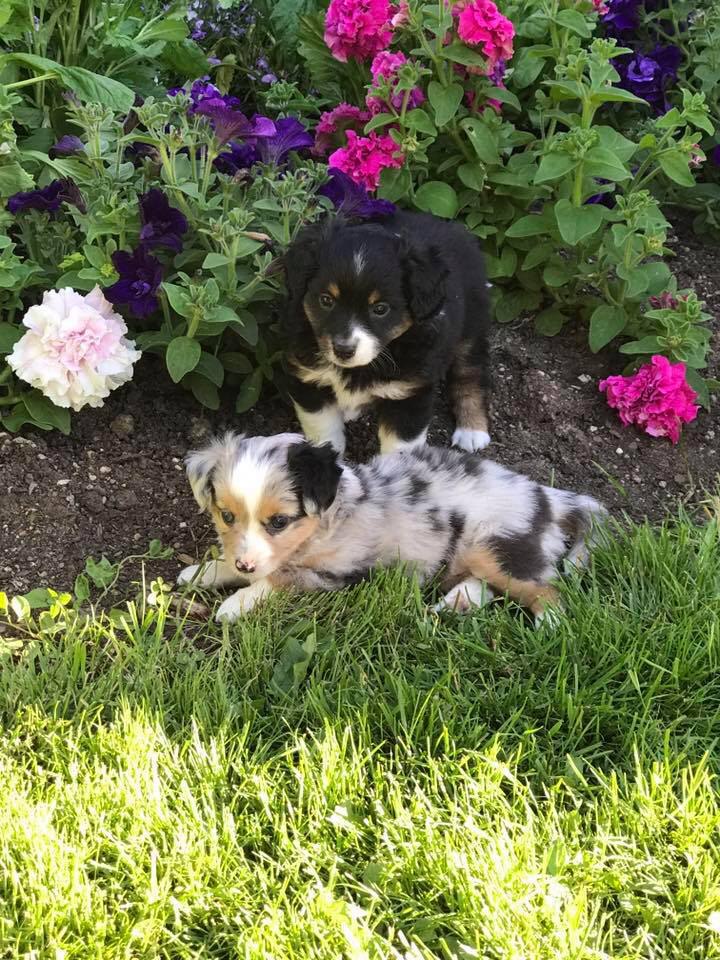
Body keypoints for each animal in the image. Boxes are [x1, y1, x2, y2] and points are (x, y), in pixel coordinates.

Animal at [177, 434, 604, 624]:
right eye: (226, 516)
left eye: (279, 522)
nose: (245, 566)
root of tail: (549, 497)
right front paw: (203, 571)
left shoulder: (336, 573)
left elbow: (278, 579)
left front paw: (235, 603)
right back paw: (457, 602)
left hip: (494, 545)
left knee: (548, 590)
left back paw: (548, 625)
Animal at [278, 209, 492, 454]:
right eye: (326, 300)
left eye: (380, 309)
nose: (343, 350)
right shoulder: (310, 381)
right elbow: (325, 432)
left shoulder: (408, 394)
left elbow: (399, 450)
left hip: (471, 329)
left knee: (470, 375)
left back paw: (472, 431)